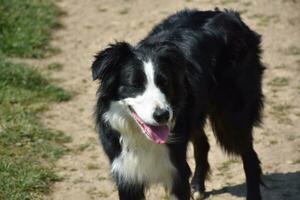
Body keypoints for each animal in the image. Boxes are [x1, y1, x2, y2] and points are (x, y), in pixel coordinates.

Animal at [92, 8, 264, 199]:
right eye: (135, 85)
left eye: (164, 82)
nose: (162, 116)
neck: (141, 137)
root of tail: (231, 15)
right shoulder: (127, 174)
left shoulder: (176, 170)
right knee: (203, 143)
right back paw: (198, 186)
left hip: (233, 114)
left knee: (250, 156)